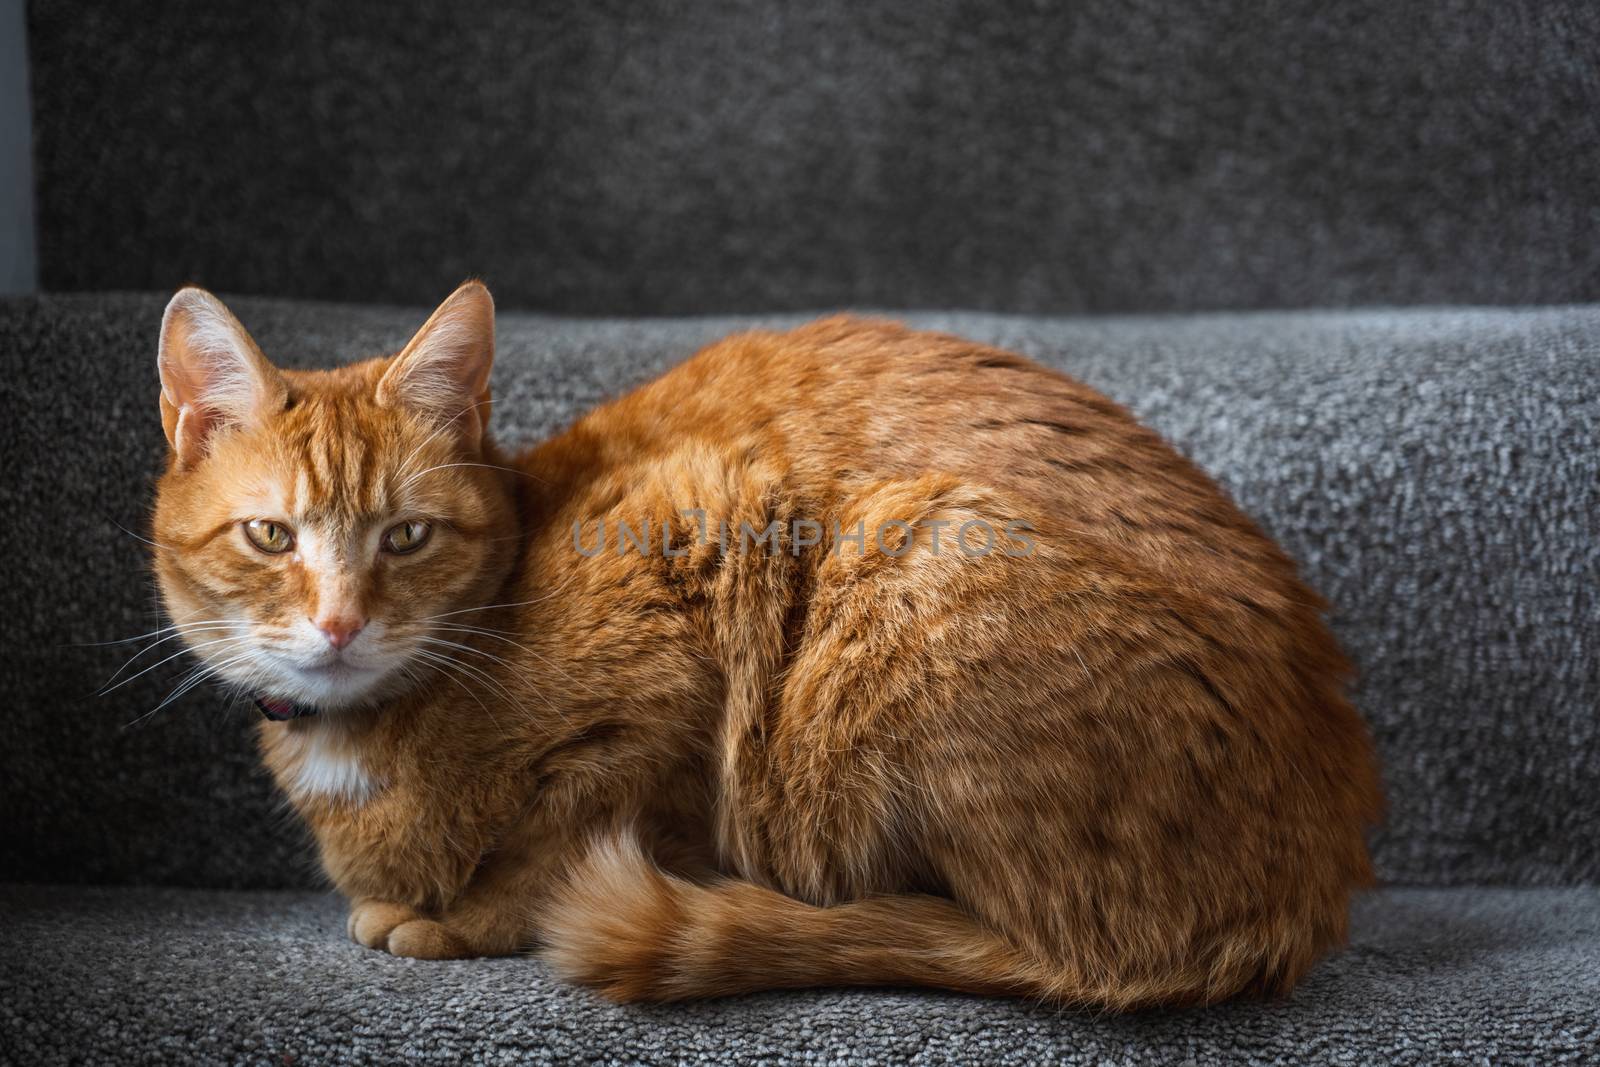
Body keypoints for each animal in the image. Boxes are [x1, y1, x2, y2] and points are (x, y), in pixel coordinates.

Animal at [150, 279, 1382, 1004]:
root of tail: (1321, 867)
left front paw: (467, 918)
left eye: (405, 535)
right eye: (272, 535)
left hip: (909, 554)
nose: (340, 621)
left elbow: (570, 832)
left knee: (1058, 952)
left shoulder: (704, 556)